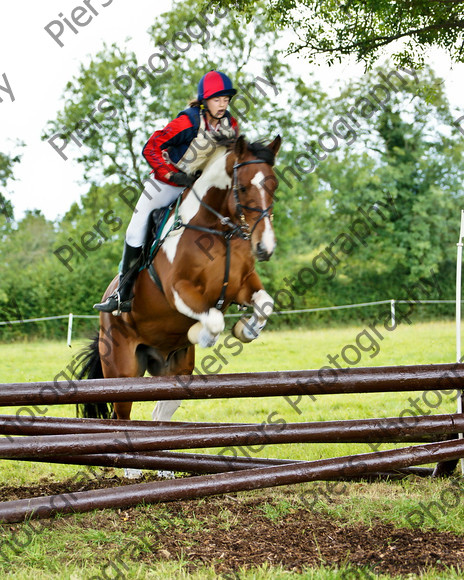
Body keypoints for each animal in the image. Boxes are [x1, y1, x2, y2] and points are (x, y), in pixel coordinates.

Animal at [75, 134, 280, 432]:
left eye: (274, 186)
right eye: (242, 187)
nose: (265, 247)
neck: (217, 229)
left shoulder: (242, 284)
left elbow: (264, 303)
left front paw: (245, 330)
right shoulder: (177, 291)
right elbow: (214, 319)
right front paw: (201, 334)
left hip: (175, 371)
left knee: (160, 413)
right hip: (122, 369)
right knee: (121, 416)